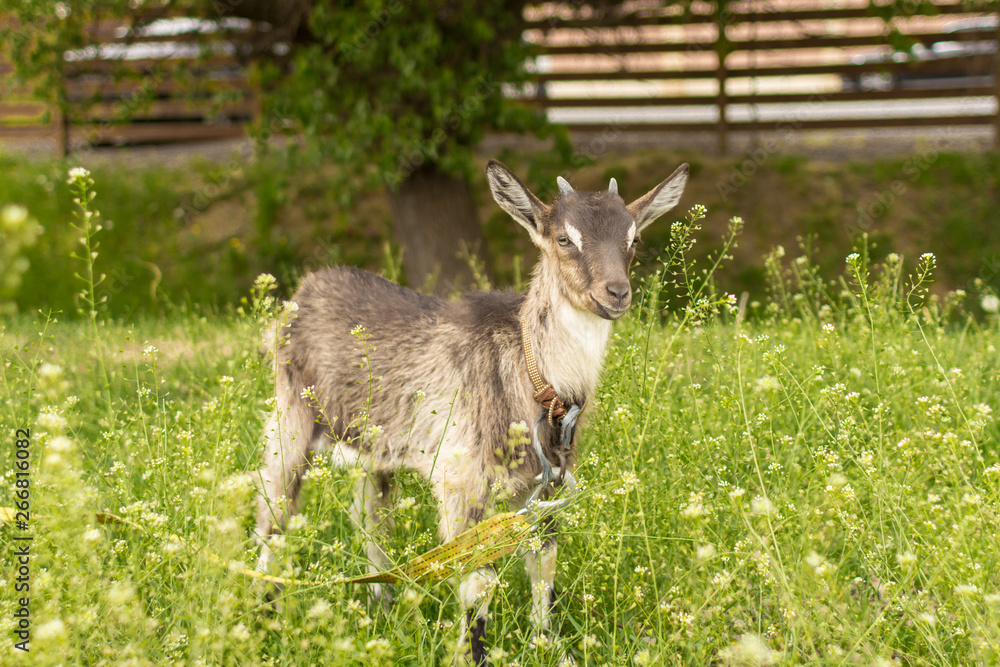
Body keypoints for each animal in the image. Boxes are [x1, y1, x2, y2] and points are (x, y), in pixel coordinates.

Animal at [254, 159, 688, 664]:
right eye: (564, 238)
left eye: (633, 239)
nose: (616, 292)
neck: (531, 377)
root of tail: (305, 289)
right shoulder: (462, 482)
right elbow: (477, 583)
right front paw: (474, 654)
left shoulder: (547, 488)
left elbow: (544, 566)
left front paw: (547, 643)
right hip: (290, 421)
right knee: (274, 510)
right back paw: (268, 616)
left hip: (376, 451)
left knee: (369, 516)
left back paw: (381, 605)